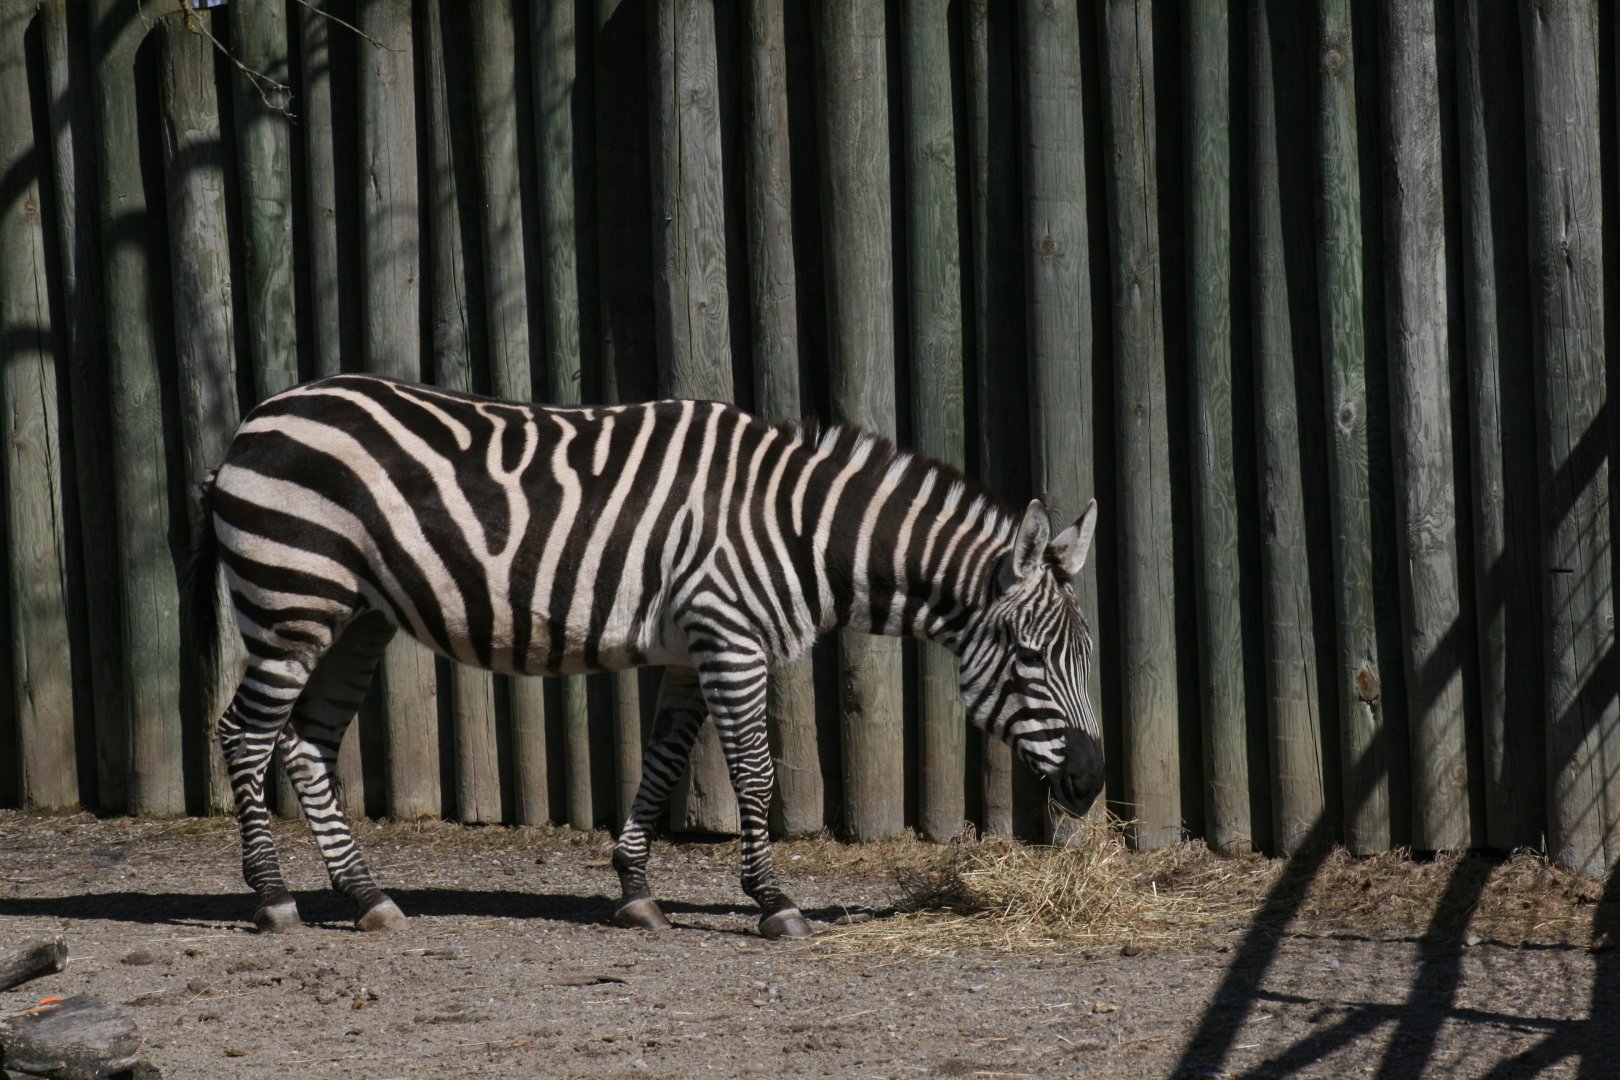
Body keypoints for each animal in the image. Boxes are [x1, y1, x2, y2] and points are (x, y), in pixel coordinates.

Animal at [187, 373, 1104, 940]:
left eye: (1086, 653)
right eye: (1029, 654)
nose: (1092, 783)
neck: (799, 531)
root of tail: (257, 417)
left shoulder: (690, 650)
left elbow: (661, 767)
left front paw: (635, 891)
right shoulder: (730, 637)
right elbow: (754, 776)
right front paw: (774, 903)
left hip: (356, 616)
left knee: (308, 742)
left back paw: (367, 896)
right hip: (293, 598)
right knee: (245, 733)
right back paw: (273, 899)